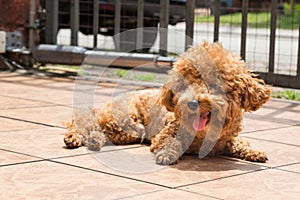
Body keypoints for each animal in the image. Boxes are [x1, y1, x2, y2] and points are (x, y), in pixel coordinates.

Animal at [64, 41, 270, 165]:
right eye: (186, 83)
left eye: (213, 83)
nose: (192, 103)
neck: (204, 134)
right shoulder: (166, 134)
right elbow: (171, 143)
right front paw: (166, 155)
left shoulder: (227, 140)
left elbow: (240, 144)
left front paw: (255, 153)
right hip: (126, 122)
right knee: (85, 123)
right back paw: (75, 138)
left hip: (128, 133)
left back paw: (94, 140)